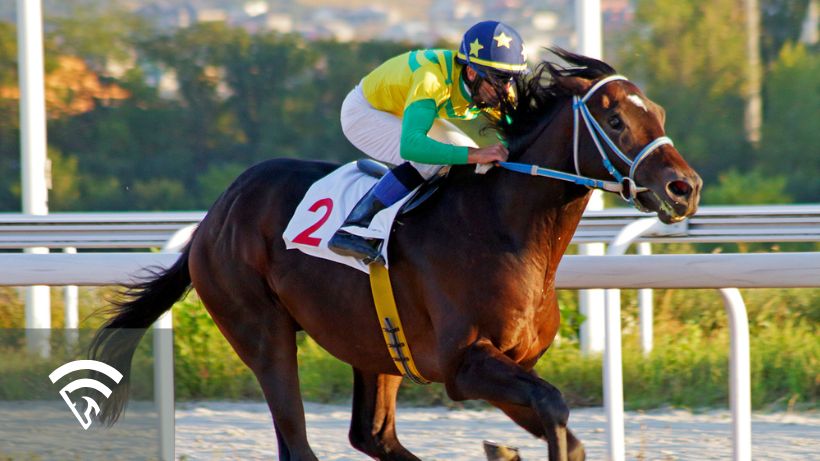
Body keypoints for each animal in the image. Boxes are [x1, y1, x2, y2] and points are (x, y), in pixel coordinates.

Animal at [90, 49, 701, 461]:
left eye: (660, 114)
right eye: (616, 119)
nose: (684, 188)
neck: (505, 230)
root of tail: (214, 216)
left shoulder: (511, 364)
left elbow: (560, 425)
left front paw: (506, 450)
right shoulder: (464, 363)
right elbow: (554, 408)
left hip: (375, 344)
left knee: (372, 435)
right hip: (260, 330)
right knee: (299, 441)